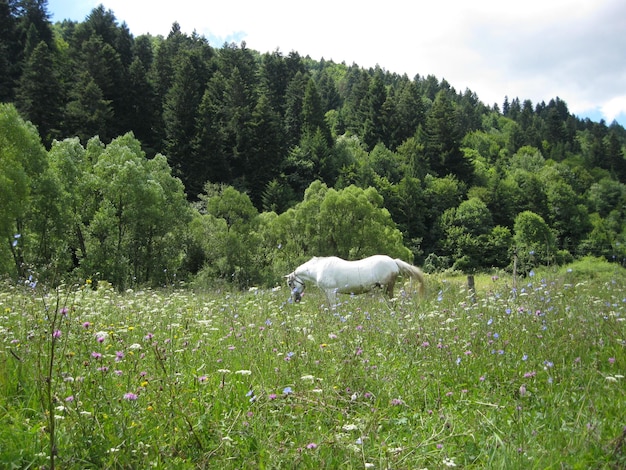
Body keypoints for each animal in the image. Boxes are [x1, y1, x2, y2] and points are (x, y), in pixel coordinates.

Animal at [284, 255, 424, 306]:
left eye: (290, 284)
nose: (295, 299)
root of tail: (393, 262)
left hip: (387, 288)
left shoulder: (331, 292)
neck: (319, 269)